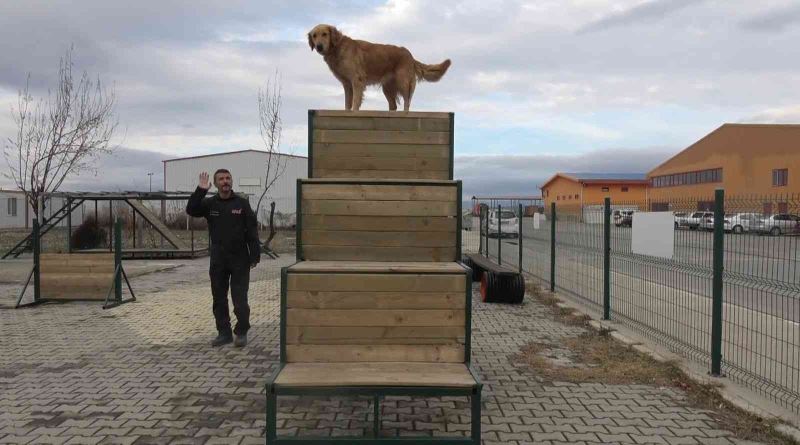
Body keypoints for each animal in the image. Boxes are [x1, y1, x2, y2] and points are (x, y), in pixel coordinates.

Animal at [308, 24, 450, 111]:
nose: (319, 46)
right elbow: (347, 103)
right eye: (314, 36)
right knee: (393, 106)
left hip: (403, 82)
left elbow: (355, 102)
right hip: (387, 88)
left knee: (407, 102)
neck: (337, 48)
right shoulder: (347, 83)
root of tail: (409, 54)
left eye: (325, 34)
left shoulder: (357, 80)